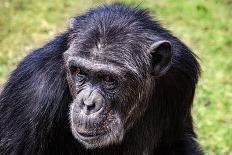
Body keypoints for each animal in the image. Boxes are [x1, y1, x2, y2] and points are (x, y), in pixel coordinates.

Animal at [0, 3, 203, 154]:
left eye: (108, 78)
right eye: (79, 71)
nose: (88, 104)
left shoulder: (182, 74)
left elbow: (175, 142)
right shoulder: (34, 93)